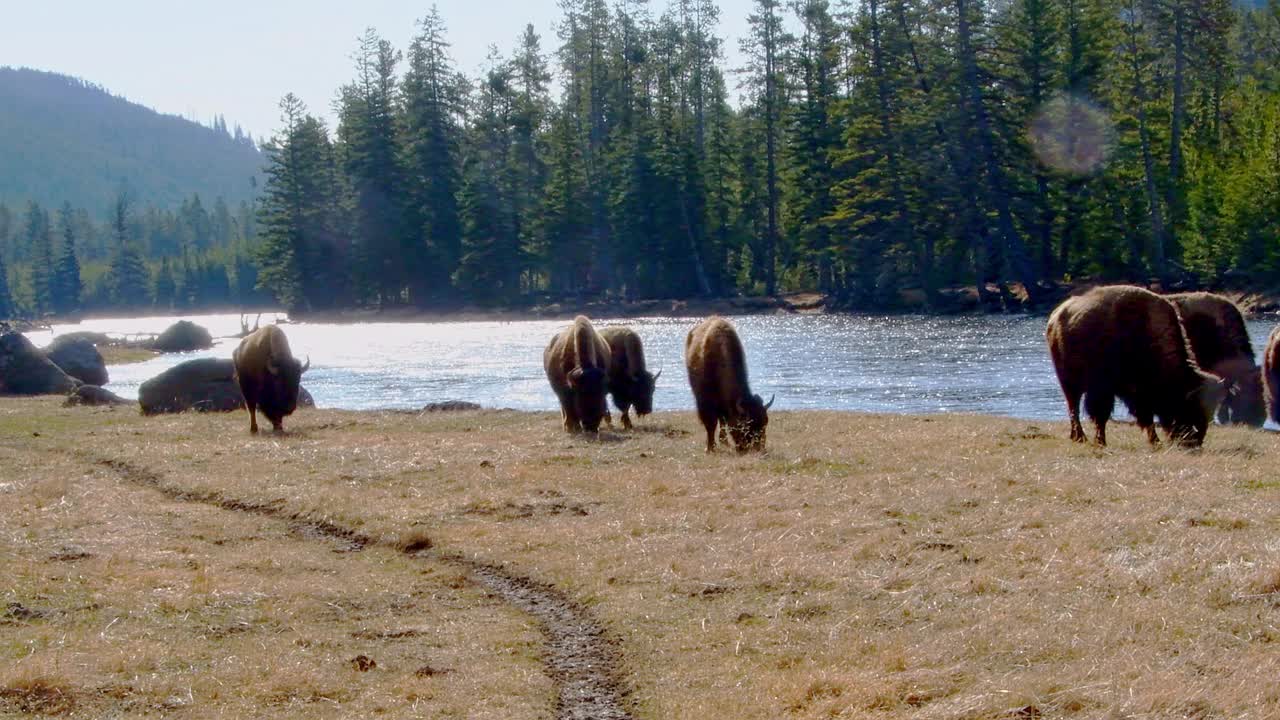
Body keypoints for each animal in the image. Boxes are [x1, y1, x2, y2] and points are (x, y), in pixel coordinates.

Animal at [686, 313, 773, 448]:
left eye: (765, 422)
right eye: (745, 426)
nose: (758, 449)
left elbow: (722, 421)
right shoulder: (705, 401)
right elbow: (710, 424)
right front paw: (710, 448)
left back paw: (724, 442)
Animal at [1049, 284, 1228, 443]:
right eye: (1191, 407)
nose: (1193, 443)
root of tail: (1055, 316)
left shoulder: (1139, 393)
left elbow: (1144, 416)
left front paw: (1155, 441)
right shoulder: (1106, 388)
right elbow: (1103, 415)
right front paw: (1102, 442)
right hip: (1069, 382)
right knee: (1074, 407)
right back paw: (1080, 437)